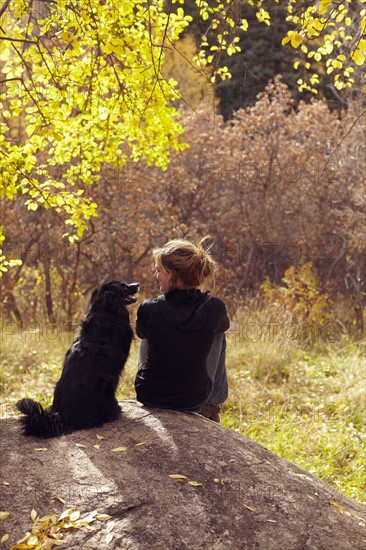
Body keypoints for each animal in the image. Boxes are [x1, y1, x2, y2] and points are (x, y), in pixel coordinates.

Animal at [15, 282, 139, 438]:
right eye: (123, 286)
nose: (137, 284)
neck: (105, 312)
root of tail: (63, 415)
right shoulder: (112, 376)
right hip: (104, 387)